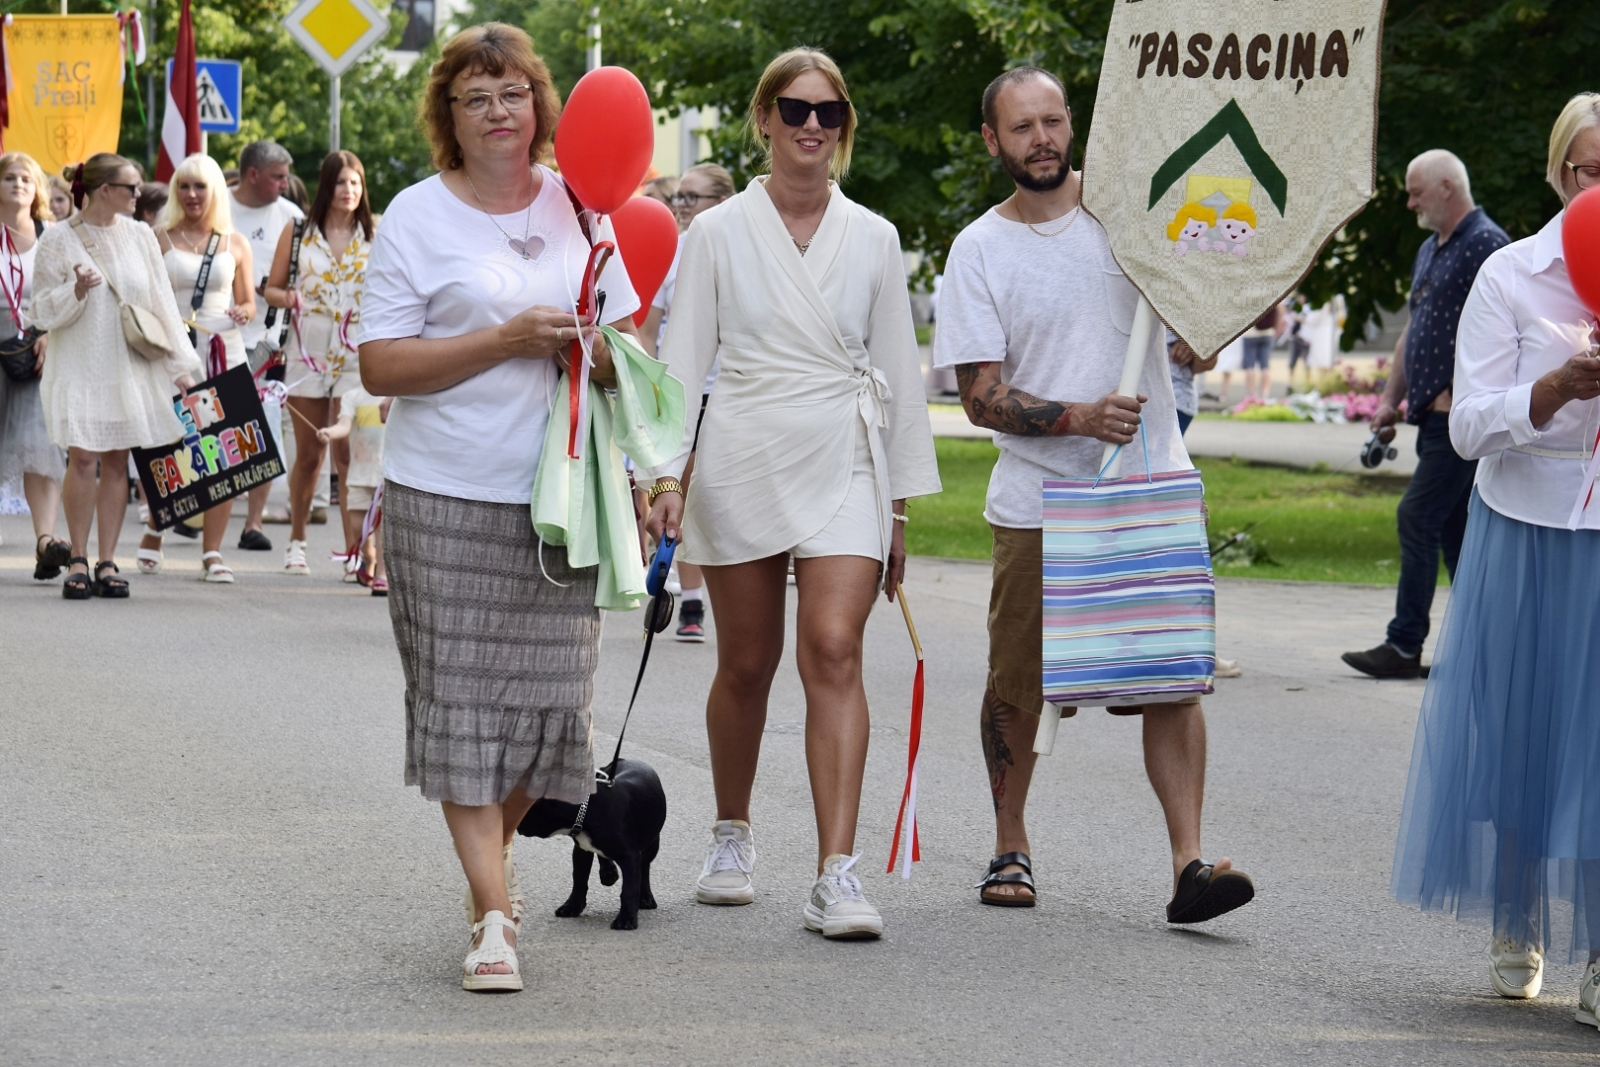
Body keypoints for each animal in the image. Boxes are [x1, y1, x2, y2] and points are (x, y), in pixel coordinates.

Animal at [512, 758, 662, 927]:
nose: (515, 824)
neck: (586, 810)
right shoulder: (581, 851)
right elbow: (579, 879)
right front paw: (572, 906)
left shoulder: (629, 857)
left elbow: (629, 889)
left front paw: (626, 919)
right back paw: (608, 873)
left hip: (652, 845)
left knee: (645, 867)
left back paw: (646, 897)